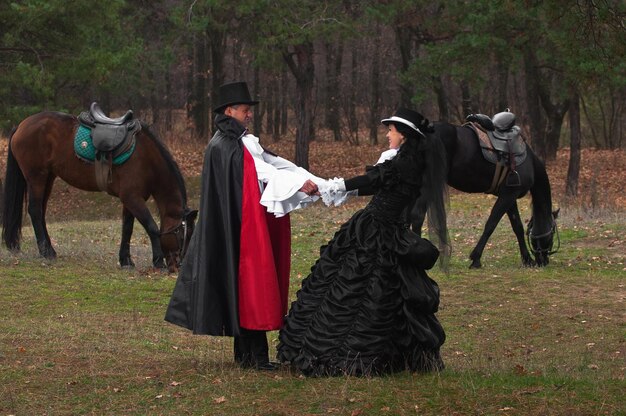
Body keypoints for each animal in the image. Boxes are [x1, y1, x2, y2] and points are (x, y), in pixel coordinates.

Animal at [1, 110, 196, 272]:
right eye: (182, 234)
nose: (178, 265)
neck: (146, 158)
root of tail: (21, 125)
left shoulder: (130, 199)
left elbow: (127, 228)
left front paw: (126, 260)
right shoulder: (132, 197)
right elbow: (152, 226)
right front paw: (158, 262)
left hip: (48, 177)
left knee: (41, 213)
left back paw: (50, 249)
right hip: (36, 177)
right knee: (34, 210)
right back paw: (45, 252)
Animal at [414, 122, 556, 268]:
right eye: (553, 233)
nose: (544, 261)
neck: (529, 163)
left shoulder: (510, 196)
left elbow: (517, 227)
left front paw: (527, 259)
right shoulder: (508, 196)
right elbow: (491, 224)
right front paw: (476, 258)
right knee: (418, 215)